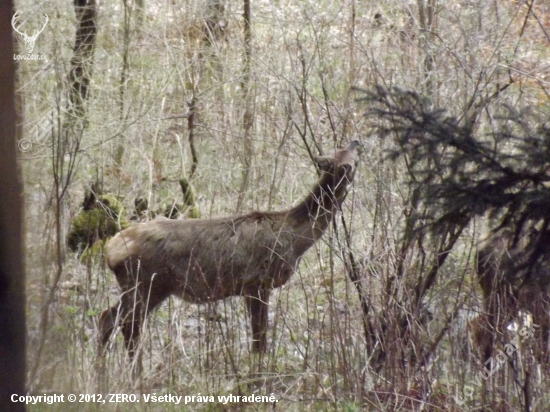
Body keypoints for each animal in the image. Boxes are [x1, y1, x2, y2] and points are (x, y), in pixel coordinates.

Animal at [101, 142, 364, 364]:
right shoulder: (257, 282)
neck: (296, 240)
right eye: (353, 160)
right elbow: (259, 341)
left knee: (109, 319)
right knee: (125, 324)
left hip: (141, 287)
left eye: (342, 150)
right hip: (147, 283)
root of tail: (110, 252)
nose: (357, 142)